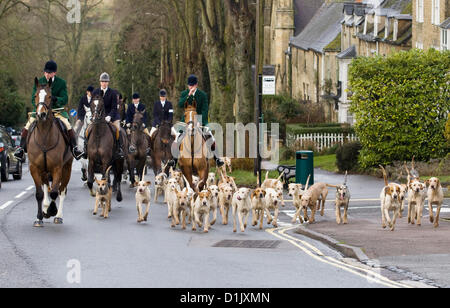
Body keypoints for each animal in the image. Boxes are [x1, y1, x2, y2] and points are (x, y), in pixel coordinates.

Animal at [27, 77, 73, 226]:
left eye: (49, 96)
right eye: (36, 95)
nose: (41, 114)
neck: (44, 136)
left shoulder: (57, 168)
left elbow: (54, 192)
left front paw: (52, 211)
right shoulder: (35, 168)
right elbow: (40, 193)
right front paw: (39, 217)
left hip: (67, 168)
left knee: (61, 190)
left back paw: (58, 215)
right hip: (44, 170)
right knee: (46, 187)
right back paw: (46, 208)